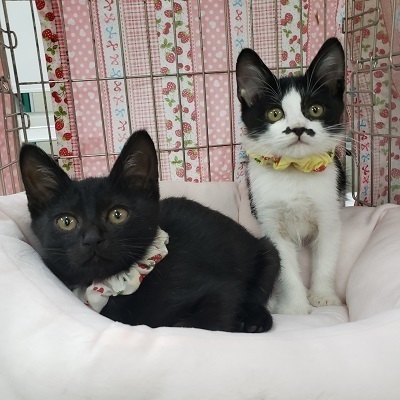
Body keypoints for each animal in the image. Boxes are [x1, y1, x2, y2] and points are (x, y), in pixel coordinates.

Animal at [19, 130, 281, 332]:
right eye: (67, 221)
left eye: (118, 214)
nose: (93, 240)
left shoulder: (221, 293)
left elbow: (193, 323)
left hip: (269, 251)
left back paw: (255, 320)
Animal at [236, 37, 346, 314]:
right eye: (274, 113)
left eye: (315, 109)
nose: (298, 128)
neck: (295, 172)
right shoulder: (270, 221)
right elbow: (284, 266)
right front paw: (295, 307)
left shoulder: (329, 211)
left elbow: (326, 256)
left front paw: (323, 297)